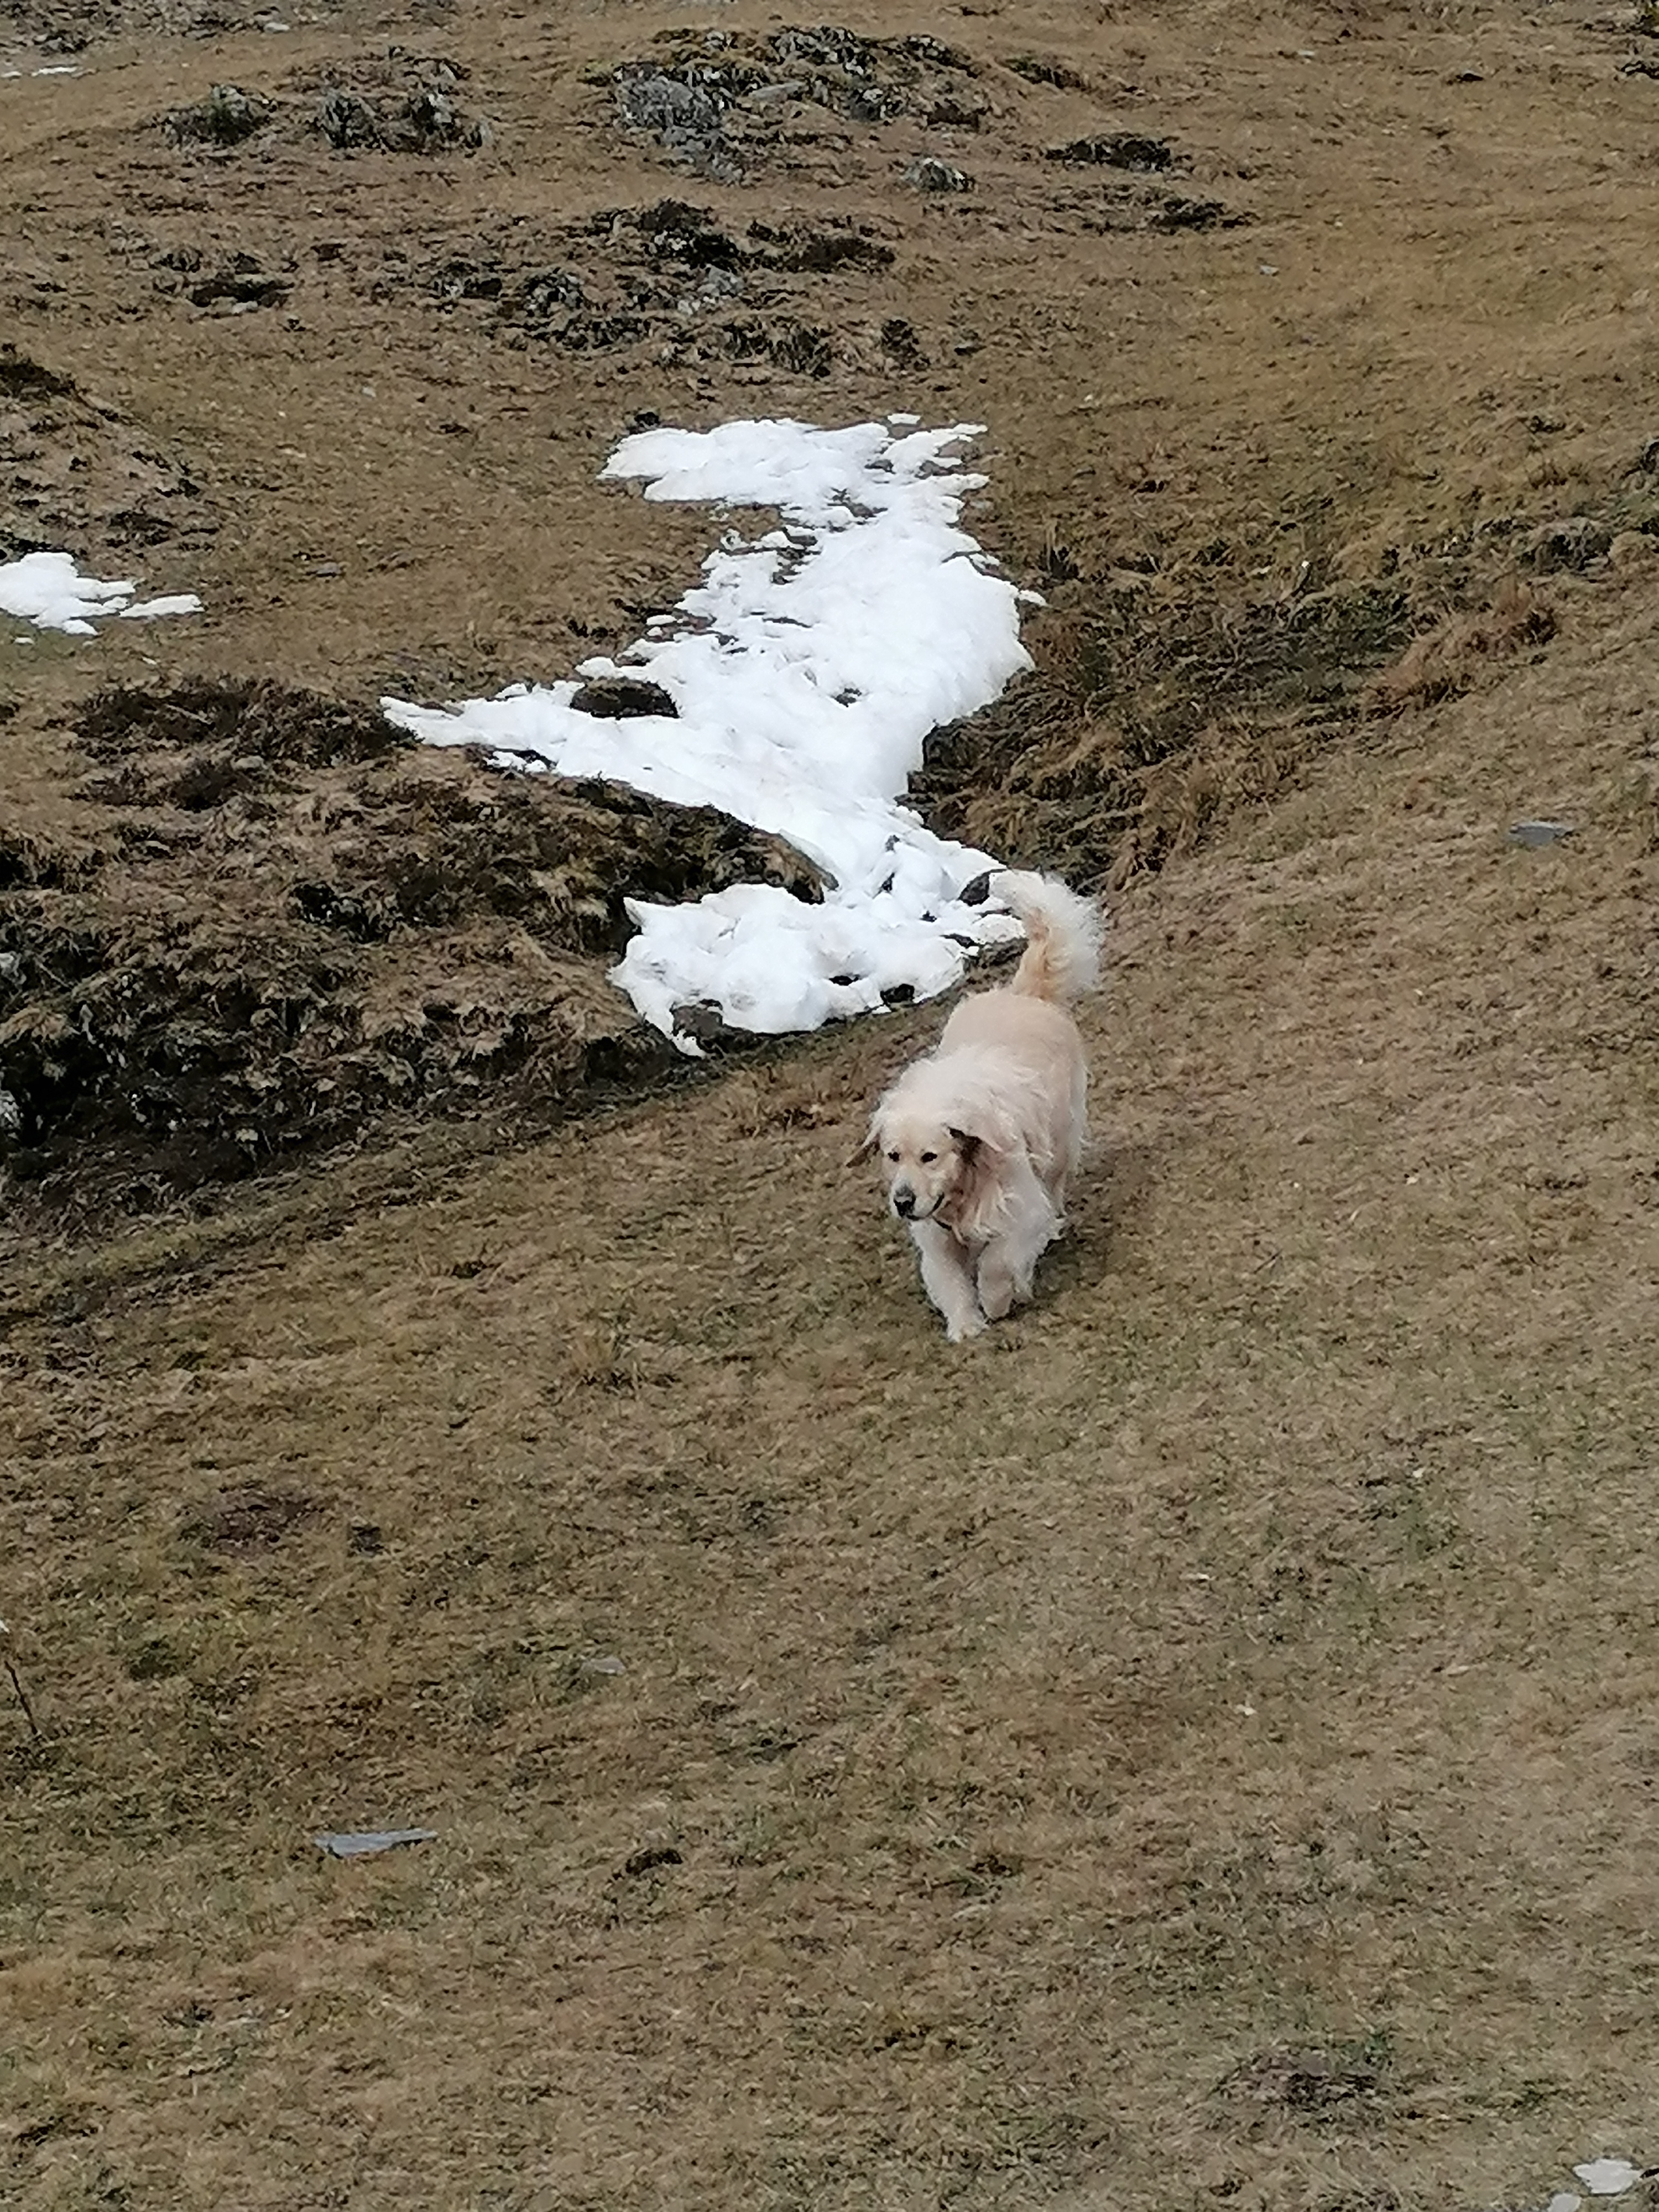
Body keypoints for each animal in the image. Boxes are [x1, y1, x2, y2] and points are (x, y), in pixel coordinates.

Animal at [858, 869, 1103, 1342]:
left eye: (930, 1156)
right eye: (893, 1156)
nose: (902, 1202)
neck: (962, 1188)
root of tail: (1023, 994)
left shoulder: (1020, 1209)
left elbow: (998, 1261)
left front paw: (999, 1300)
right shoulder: (936, 1238)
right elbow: (951, 1281)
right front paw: (966, 1324)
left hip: (1061, 1141)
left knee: (1055, 1187)